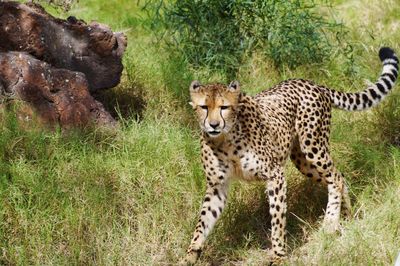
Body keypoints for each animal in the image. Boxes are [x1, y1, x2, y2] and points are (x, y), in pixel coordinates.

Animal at [181, 47, 396, 264]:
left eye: (224, 107)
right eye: (204, 107)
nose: (214, 125)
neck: (224, 139)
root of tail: (312, 83)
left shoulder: (275, 175)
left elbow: (277, 219)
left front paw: (278, 255)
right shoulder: (217, 184)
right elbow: (203, 219)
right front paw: (191, 254)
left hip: (313, 147)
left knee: (335, 177)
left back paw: (330, 222)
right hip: (303, 161)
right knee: (340, 177)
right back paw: (345, 216)